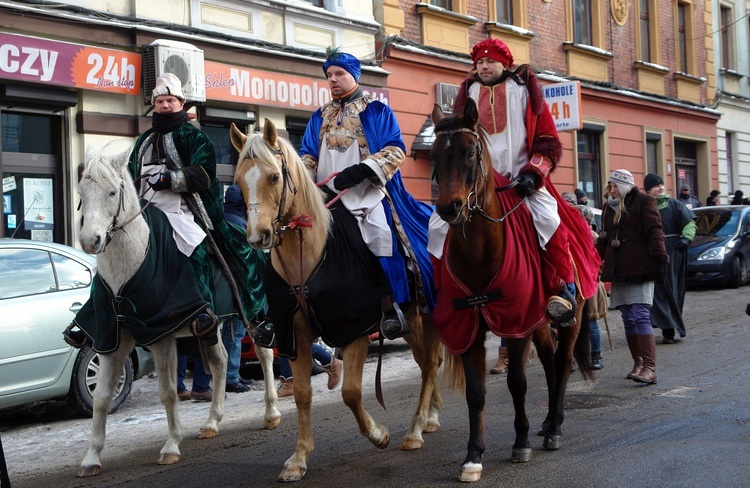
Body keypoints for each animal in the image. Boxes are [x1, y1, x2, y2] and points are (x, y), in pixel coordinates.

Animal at [73, 144, 280, 476]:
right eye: (82, 192)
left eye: (111, 192)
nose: (91, 241)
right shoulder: (111, 340)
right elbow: (102, 399)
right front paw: (91, 457)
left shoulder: (162, 337)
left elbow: (169, 392)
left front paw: (171, 446)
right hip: (212, 323)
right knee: (220, 361)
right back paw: (212, 422)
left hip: (255, 311)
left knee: (265, 354)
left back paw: (271, 412)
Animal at [226, 121, 444, 480]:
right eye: (240, 181)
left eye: (273, 177)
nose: (258, 237)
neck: (309, 255)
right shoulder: (294, 336)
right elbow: (302, 394)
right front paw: (298, 458)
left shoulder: (353, 330)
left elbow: (351, 392)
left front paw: (378, 434)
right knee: (427, 361)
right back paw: (430, 417)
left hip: (420, 315)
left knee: (428, 364)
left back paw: (414, 430)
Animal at [432, 98, 596, 480]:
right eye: (434, 155)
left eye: (470, 152)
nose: (449, 208)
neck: (479, 254)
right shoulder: (469, 329)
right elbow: (476, 393)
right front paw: (473, 455)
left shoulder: (515, 324)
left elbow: (517, 383)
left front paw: (520, 443)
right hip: (539, 324)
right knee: (550, 360)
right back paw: (548, 421)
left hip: (571, 318)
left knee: (563, 361)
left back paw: (554, 428)